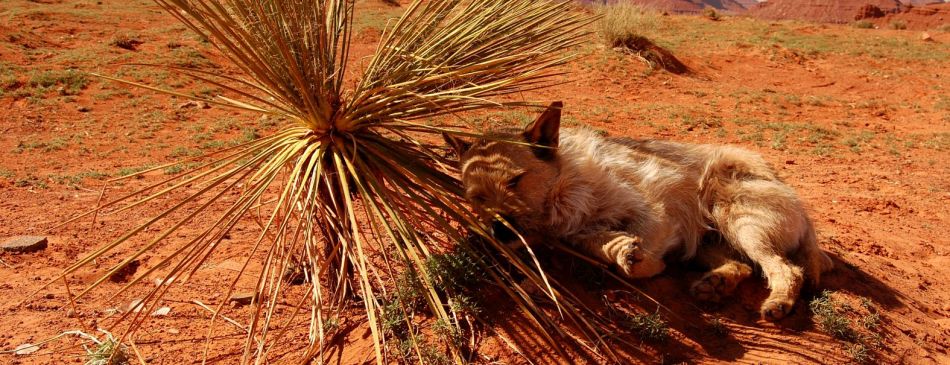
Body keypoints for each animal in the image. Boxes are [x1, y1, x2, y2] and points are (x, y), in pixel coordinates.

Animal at [446, 101, 832, 318]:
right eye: (476, 198)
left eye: (516, 180)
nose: (499, 232)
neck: (562, 189)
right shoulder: (576, 234)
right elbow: (596, 243)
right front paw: (619, 249)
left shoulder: (656, 209)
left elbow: (640, 255)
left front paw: (641, 261)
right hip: (709, 243)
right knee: (743, 265)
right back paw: (716, 284)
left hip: (739, 220)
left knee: (786, 269)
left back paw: (779, 302)